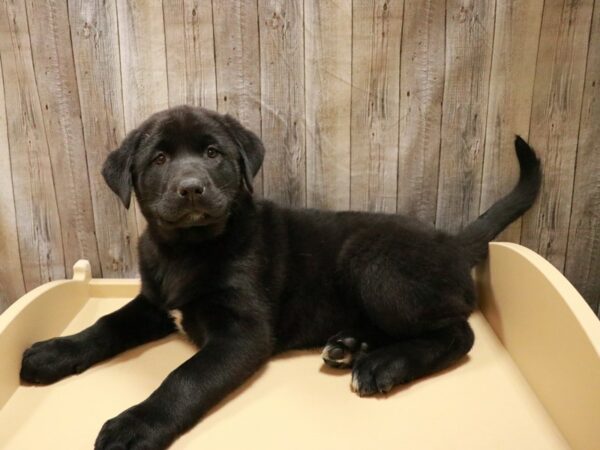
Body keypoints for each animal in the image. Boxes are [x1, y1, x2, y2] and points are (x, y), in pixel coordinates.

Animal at [21, 106, 540, 450]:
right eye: (159, 160)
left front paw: (136, 424)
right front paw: (53, 352)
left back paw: (382, 365)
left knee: (459, 332)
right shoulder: (155, 303)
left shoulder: (243, 332)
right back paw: (349, 346)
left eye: (212, 152)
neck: (188, 248)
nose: (192, 188)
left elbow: (184, 377)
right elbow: (106, 323)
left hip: (373, 264)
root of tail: (451, 242)